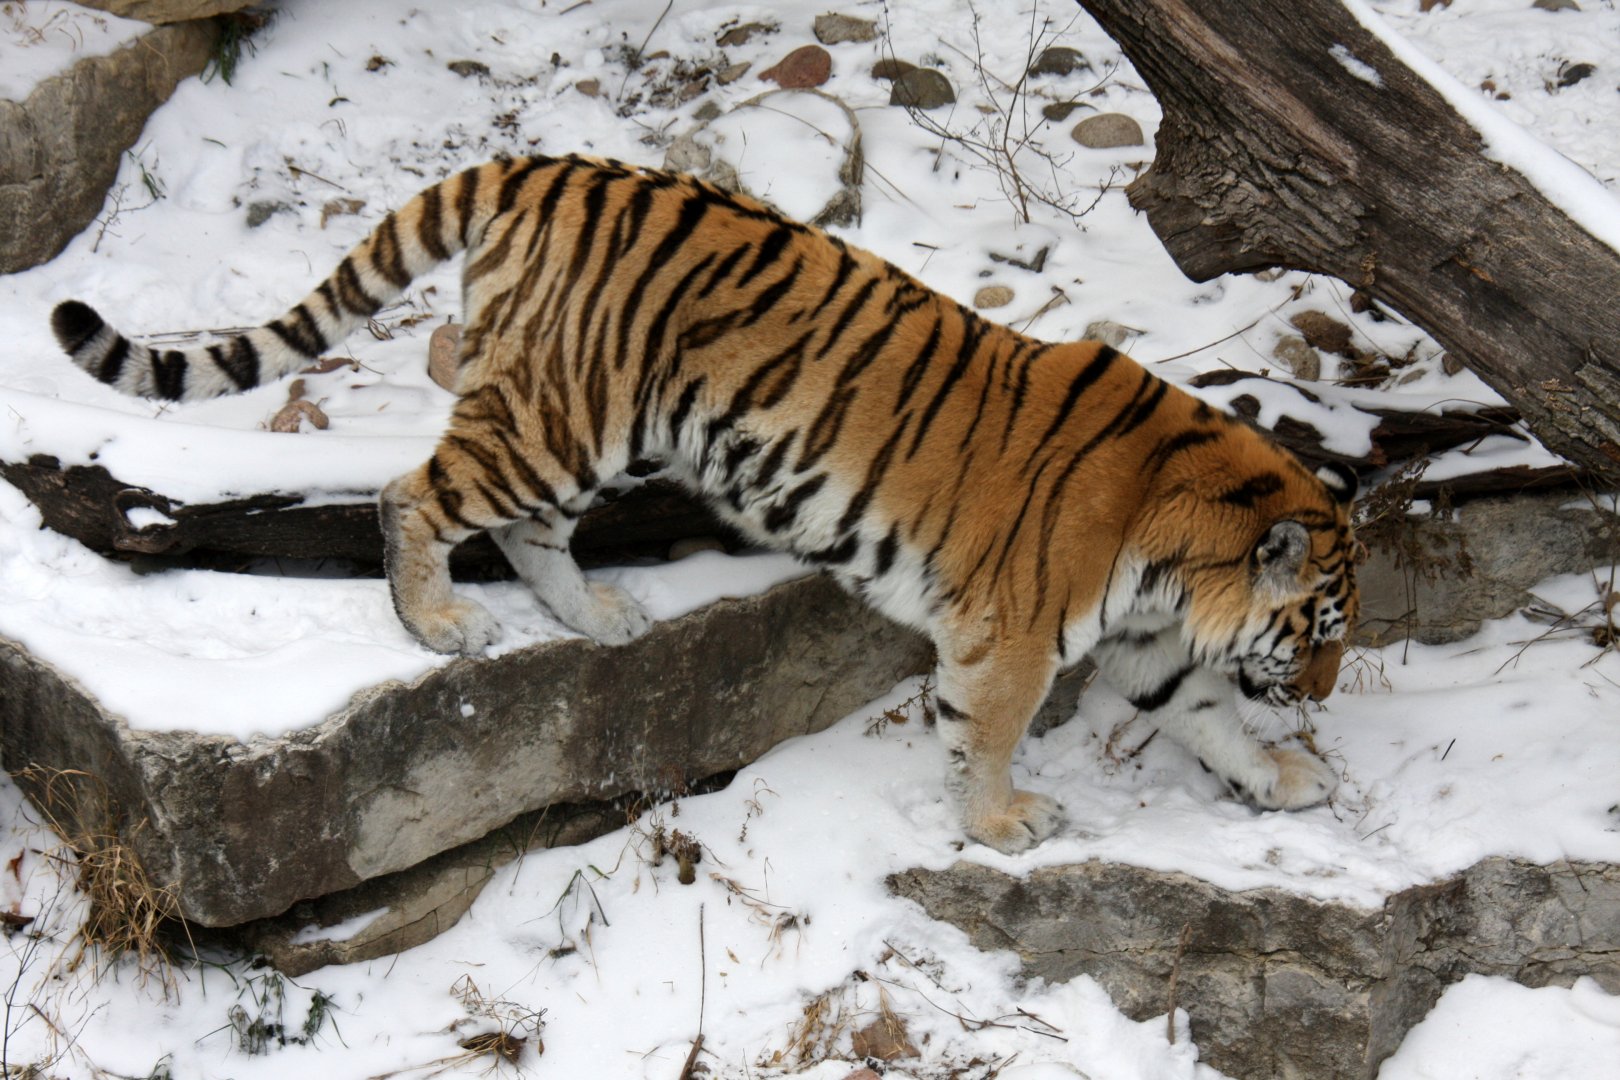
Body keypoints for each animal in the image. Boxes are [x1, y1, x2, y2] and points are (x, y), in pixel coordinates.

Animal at [50, 153, 1359, 854]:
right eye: (1319, 634)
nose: (1329, 698)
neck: (1178, 549)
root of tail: (544, 164)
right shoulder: (1016, 638)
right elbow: (985, 737)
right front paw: (1001, 825)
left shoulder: (1144, 644)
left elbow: (1210, 715)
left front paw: (1287, 782)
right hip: (565, 412)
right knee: (414, 490)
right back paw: (439, 623)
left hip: (603, 429)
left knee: (508, 487)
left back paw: (597, 618)